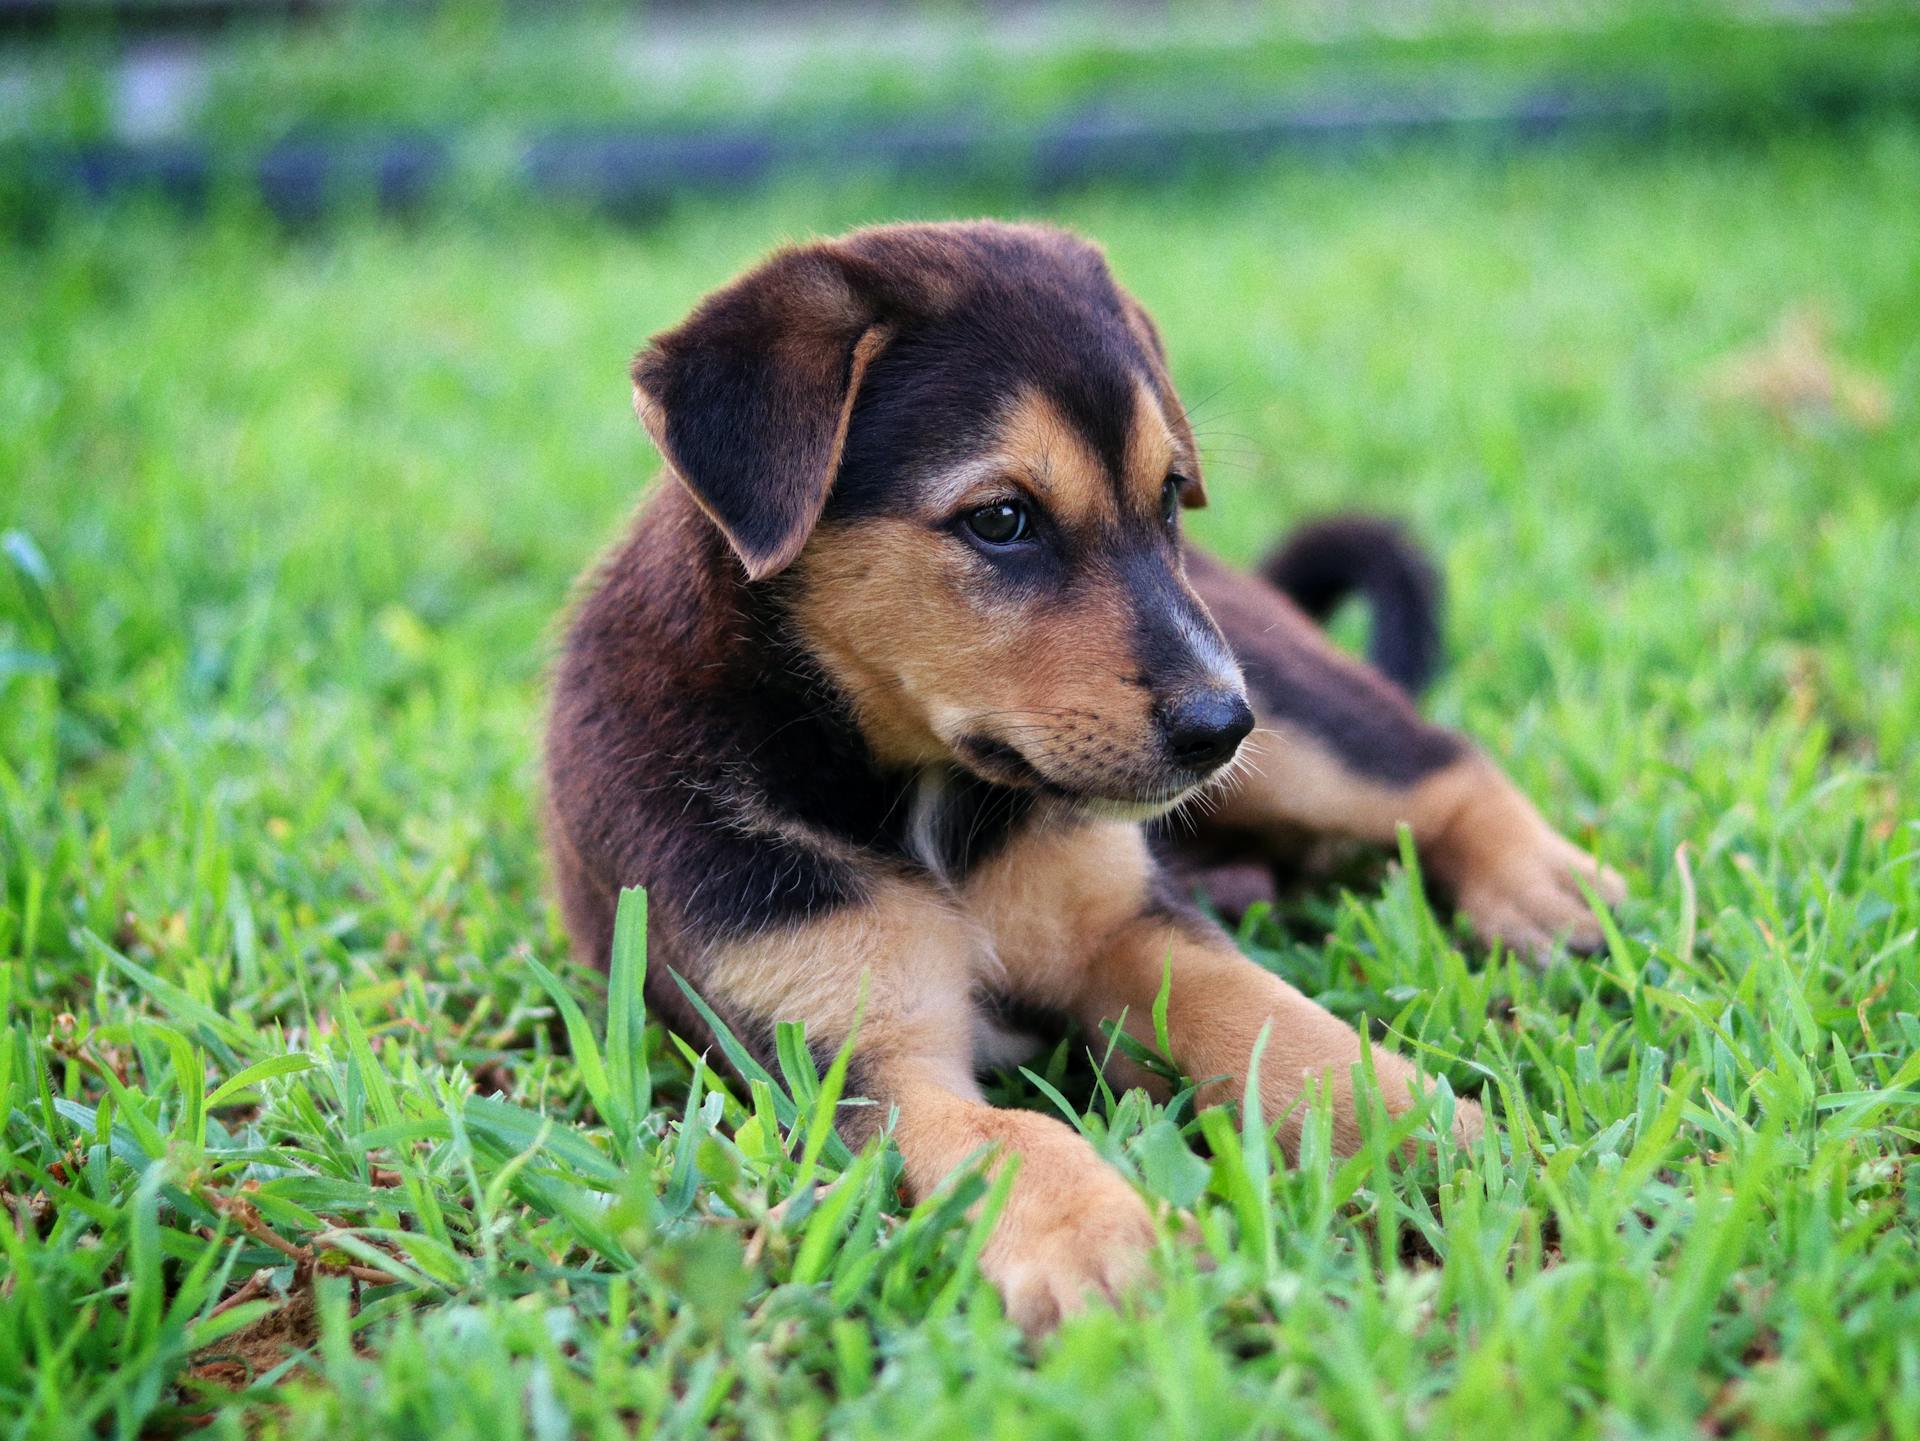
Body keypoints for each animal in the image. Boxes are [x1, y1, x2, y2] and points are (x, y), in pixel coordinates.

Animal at [541, 219, 1620, 1335]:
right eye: (1000, 519)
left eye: (1170, 498)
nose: (1223, 729)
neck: (928, 799)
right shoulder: (850, 1055)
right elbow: (1009, 1139)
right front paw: (1102, 1237)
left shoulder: (1127, 922)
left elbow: (1263, 1014)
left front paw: (1415, 1125)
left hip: (1288, 704)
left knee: (1436, 764)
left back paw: (1546, 886)